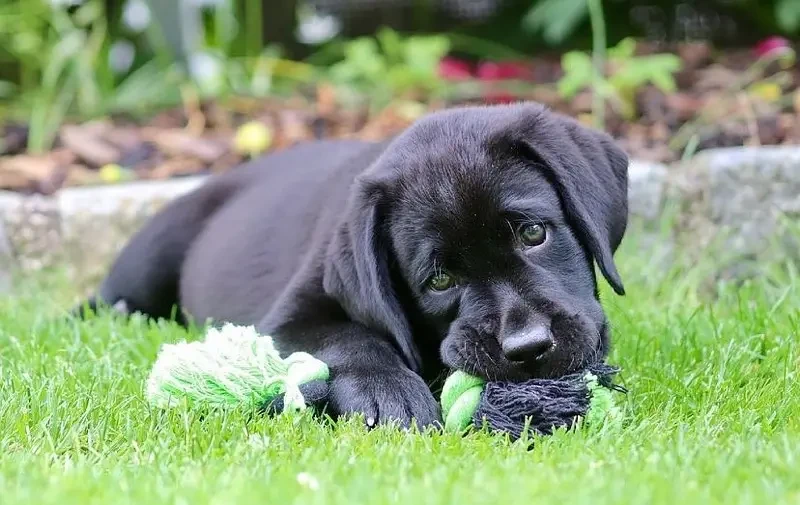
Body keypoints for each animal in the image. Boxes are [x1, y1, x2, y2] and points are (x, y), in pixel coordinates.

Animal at [78, 102, 628, 426]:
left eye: (533, 233)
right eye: (440, 280)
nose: (528, 348)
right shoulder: (290, 319)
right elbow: (349, 339)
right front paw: (388, 394)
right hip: (151, 254)